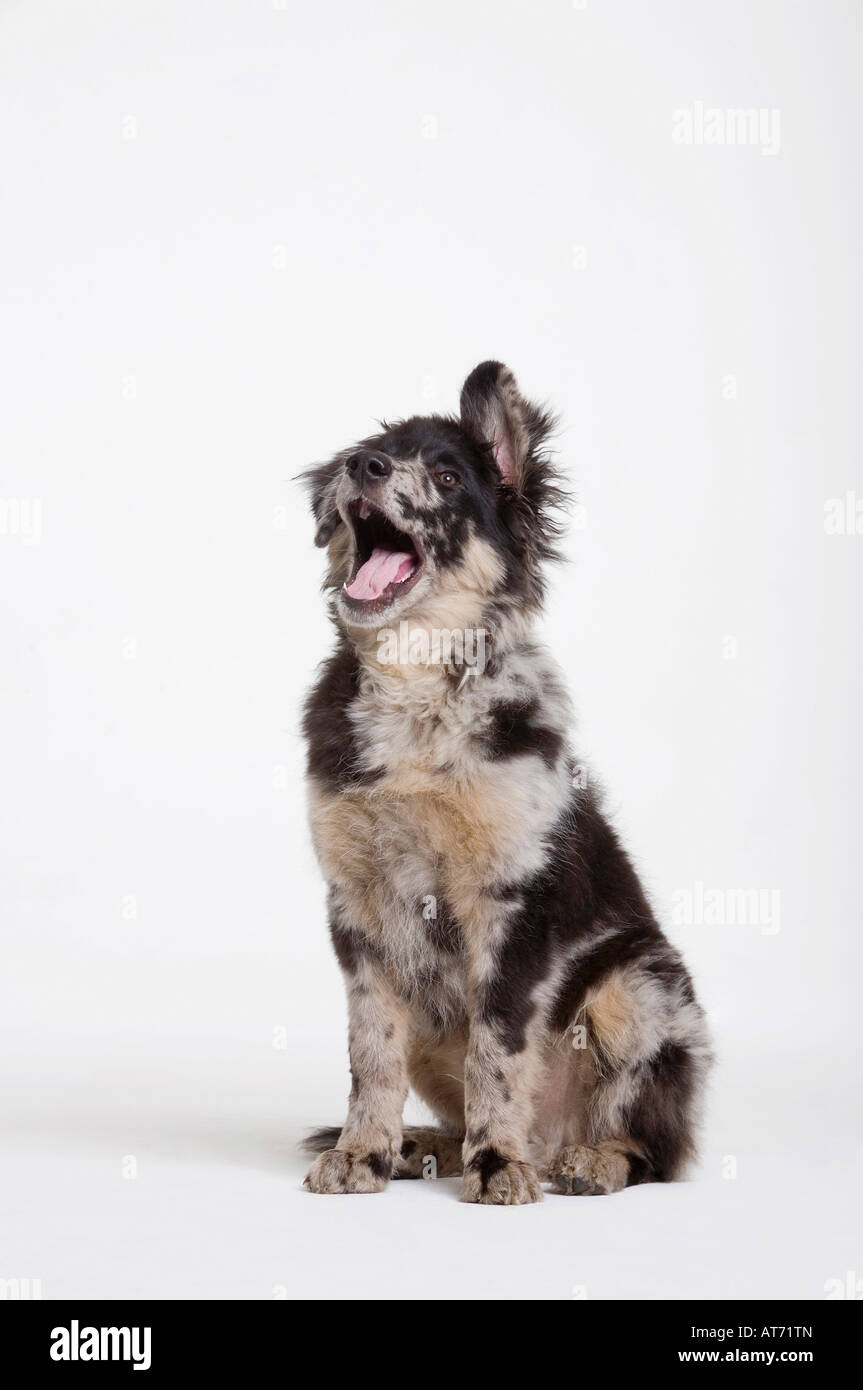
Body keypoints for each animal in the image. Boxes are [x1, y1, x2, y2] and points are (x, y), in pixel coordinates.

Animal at [300, 364, 711, 1200]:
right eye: (369, 455)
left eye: (447, 477)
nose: (363, 467)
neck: (415, 691)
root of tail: (554, 1137)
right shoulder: (356, 911)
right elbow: (371, 1052)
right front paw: (362, 1152)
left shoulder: (509, 902)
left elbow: (497, 1048)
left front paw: (497, 1162)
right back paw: (426, 1145)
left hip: (639, 986)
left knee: (653, 1147)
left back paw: (582, 1161)